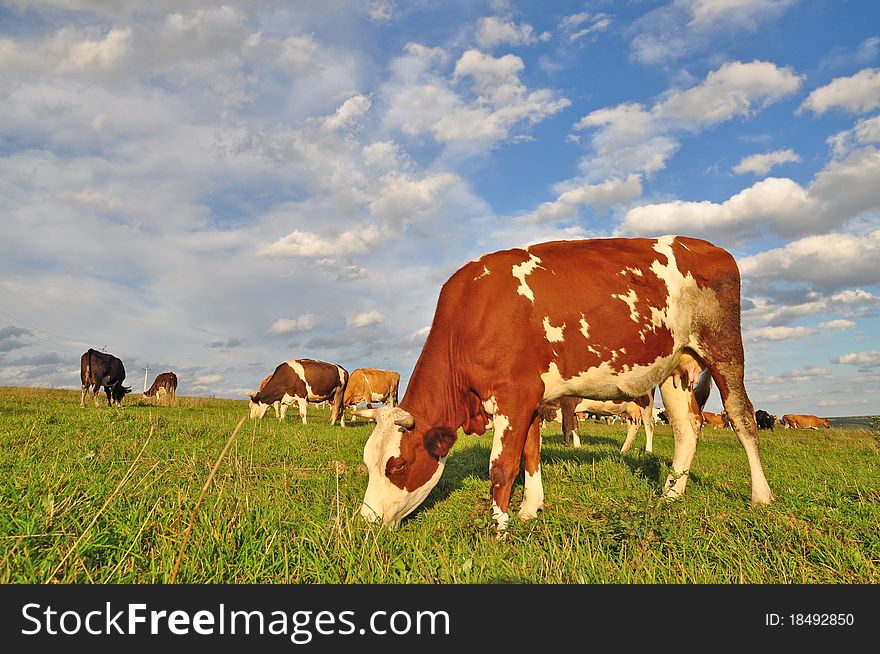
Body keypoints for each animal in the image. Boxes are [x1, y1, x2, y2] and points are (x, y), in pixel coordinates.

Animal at [356, 236, 768, 532]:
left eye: (397, 465)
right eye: (367, 463)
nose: (366, 521)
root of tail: (709, 247)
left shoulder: (513, 396)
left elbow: (501, 467)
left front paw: (499, 528)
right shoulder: (530, 398)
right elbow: (530, 454)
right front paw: (529, 509)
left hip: (723, 349)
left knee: (741, 417)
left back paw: (761, 496)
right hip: (675, 367)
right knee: (687, 426)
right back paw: (671, 494)